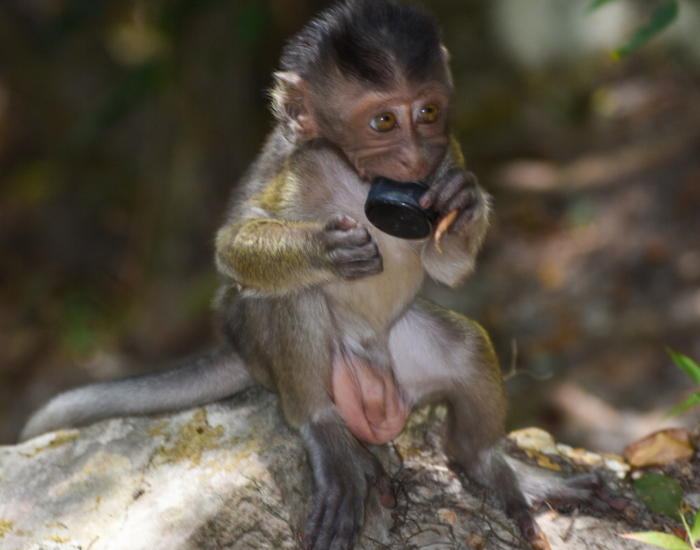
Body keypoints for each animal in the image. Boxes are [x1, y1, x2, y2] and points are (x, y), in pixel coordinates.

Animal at [20, 1, 624, 549]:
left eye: (429, 112)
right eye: (384, 121)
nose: (415, 153)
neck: (360, 180)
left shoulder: (448, 155)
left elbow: (448, 267)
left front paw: (465, 203)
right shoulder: (304, 165)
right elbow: (232, 246)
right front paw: (322, 249)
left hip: (404, 354)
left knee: (466, 349)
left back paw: (493, 467)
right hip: (295, 357)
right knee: (282, 298)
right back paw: (327, 433)